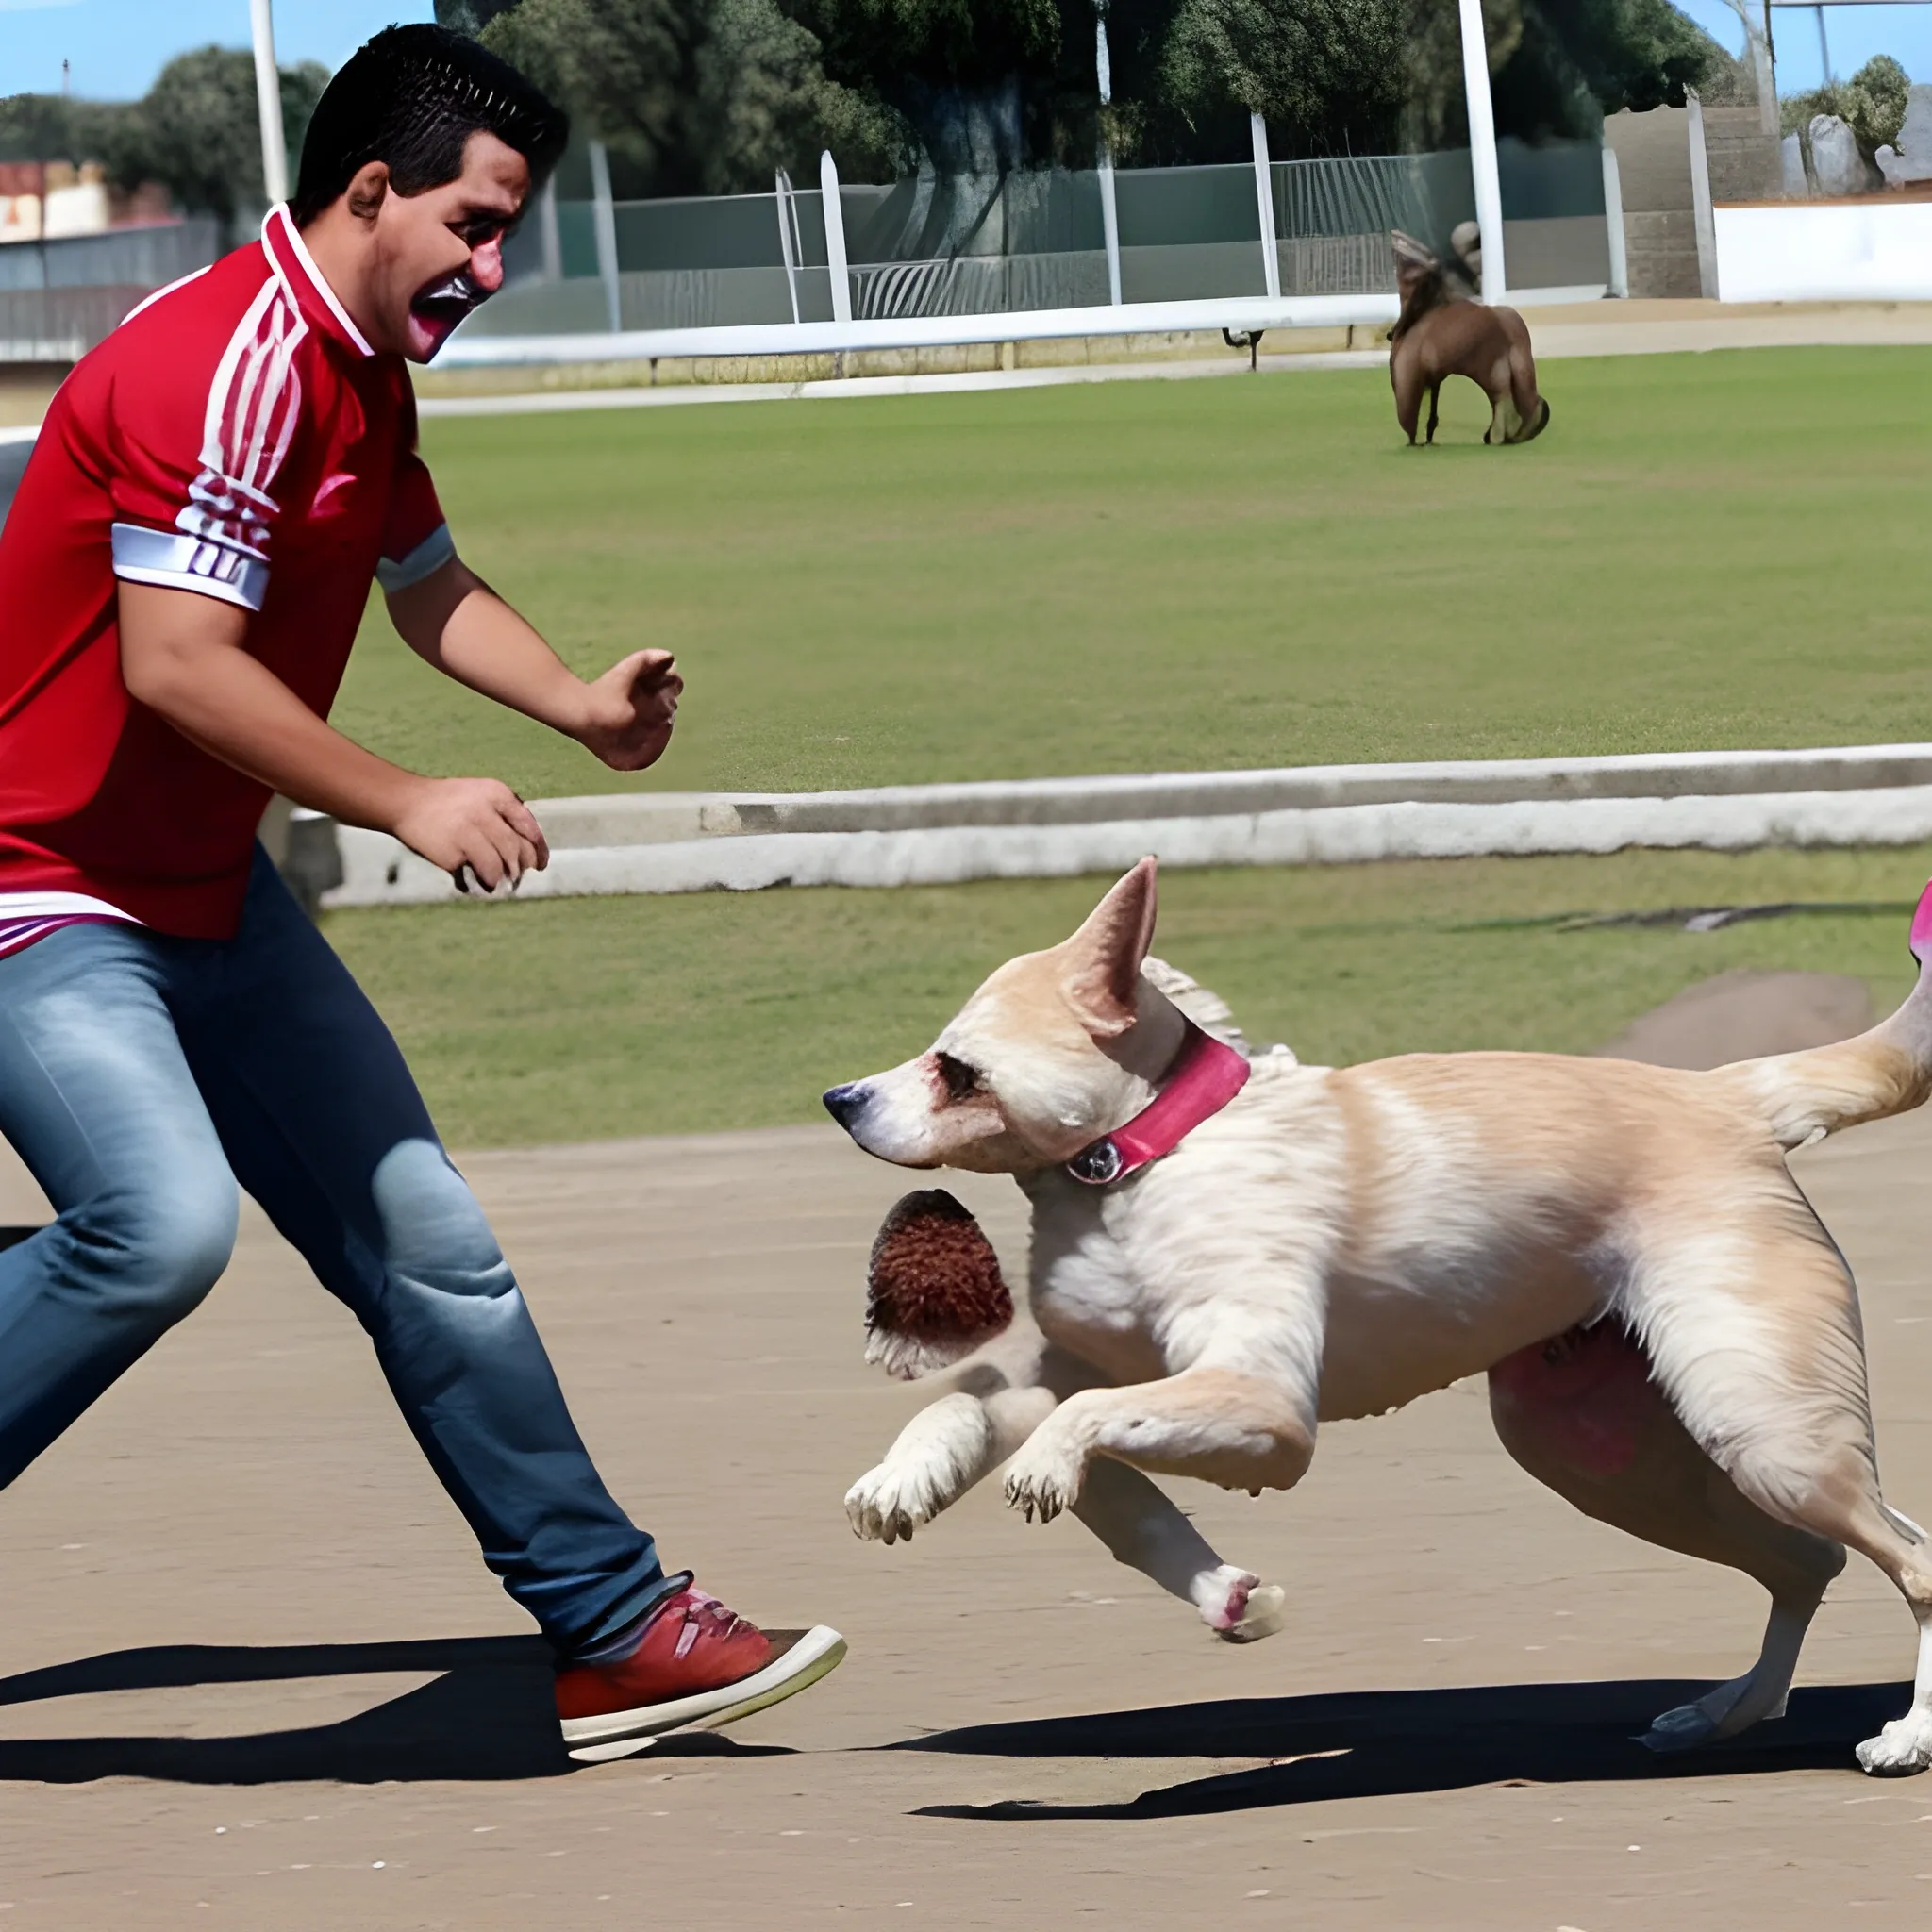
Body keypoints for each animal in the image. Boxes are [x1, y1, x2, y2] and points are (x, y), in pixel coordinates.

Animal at [823, 861, 1932, 1777]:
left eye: (954, 1067)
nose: (838, 1096)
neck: (1143, 1158)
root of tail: (1729, 1094)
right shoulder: (1081, 1361)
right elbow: (974, 1404)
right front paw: (905, 1478)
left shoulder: (1269, 1413)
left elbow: (1084, 1420)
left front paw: (1051, 1467)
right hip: (1613, 1453)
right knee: (1814, 1558)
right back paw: (1725, 1712)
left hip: (1761, 1428)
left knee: (1906, 1558)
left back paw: (1906, 1738)